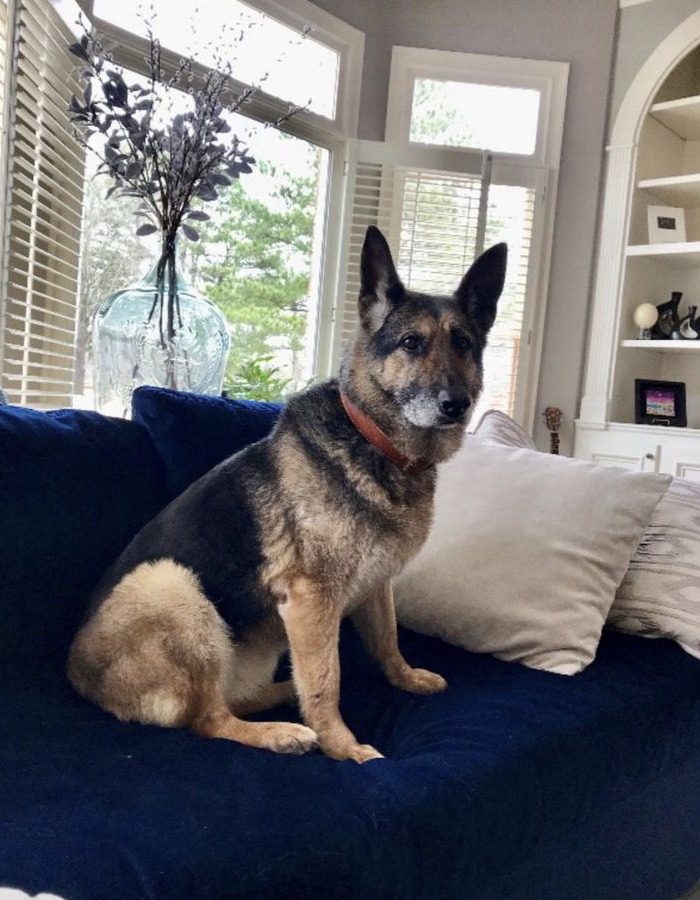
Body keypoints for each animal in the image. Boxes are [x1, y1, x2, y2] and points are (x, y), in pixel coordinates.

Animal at [68, 229, 506, 764]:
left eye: (462, 343)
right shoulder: (311, 601)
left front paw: (404, 678)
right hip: (170, 584)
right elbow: (324, 682)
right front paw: (344, 747)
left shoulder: (375, 586)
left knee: (236, 698)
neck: (374, 442)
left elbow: (387, 641)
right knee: (208, 719)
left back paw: (281, 697)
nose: (455, 405)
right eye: (411, 342)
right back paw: (282, 733)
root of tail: (77, 677)